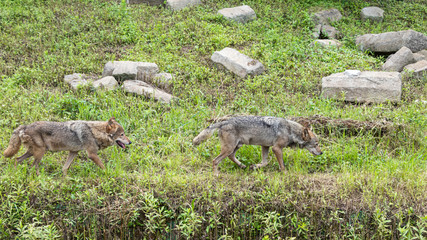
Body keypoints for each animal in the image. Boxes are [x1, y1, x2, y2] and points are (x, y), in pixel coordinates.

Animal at [2, 117, 132, 175]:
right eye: (122, 134)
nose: (130, 142)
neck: (94, 132)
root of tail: (25, 126)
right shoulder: (92, 155)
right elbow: (103, 167)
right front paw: (110, 175)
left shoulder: (73, 152)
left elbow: (65, 168)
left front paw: (66, 180)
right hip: (40, 152)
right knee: (33, 166)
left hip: (33, 152)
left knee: (17, 159)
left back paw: (13, 174)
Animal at [192, 115, 322, 175]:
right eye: (316, 144)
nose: (321, 153)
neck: (290, 131)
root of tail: (224, 122)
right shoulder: (276, 148)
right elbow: (282, 165)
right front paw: (285, 173)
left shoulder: (265, 146)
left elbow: (265, 162)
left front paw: (254, 166)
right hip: (229, 148)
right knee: (215, 160)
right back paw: (216, 174)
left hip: (236, 147)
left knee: (231, 157)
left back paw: (243, 165)